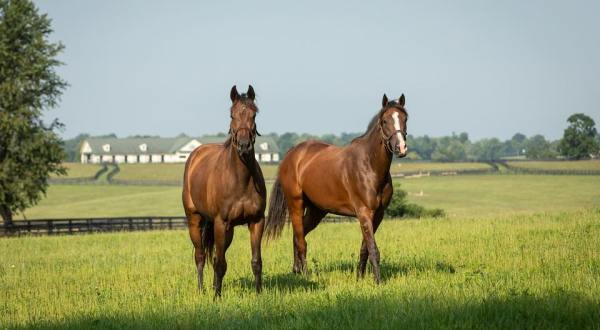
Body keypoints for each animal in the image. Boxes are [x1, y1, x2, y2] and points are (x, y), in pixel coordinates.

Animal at [183, 84, 264, 296]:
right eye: (232, 115)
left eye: (254, 114)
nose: (244, 145)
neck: (241, 180)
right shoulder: (221, 222)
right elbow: (220, 263)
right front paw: (217, 297)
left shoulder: (256, 221)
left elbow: (256, 261)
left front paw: (259, 293)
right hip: (195, 221)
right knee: (201, 256)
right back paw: (202, 290)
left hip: (227, 230)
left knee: (213, 257)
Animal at [266, 93, 408, 284]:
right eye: (385, 121)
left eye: (405, 118)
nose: (401, 148)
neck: (369, 165)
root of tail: (292, 154)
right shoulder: (364, 213)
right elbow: (373, 249)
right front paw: (378, 281)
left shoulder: (378, 215)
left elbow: (365, 248)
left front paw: (360, 277)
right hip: (296, 205)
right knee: (301, 240)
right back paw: (305, 275)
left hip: (317, 211)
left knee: (298, 236)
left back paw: (296, 271)